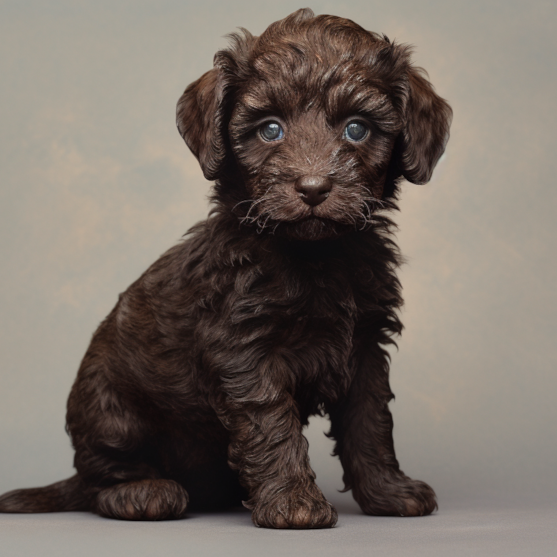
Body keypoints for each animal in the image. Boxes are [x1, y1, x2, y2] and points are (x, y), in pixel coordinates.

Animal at [0, 9, 452, 528]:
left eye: (357, 129)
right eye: (270, 129)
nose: (313, 187)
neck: (315, 258)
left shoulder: (365, 351)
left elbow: (370, 422)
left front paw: (388, 491)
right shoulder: (245, 352)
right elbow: (272, 424)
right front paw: (294, 503)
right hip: (111, 413)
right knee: (100, 480)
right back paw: (142, 492)